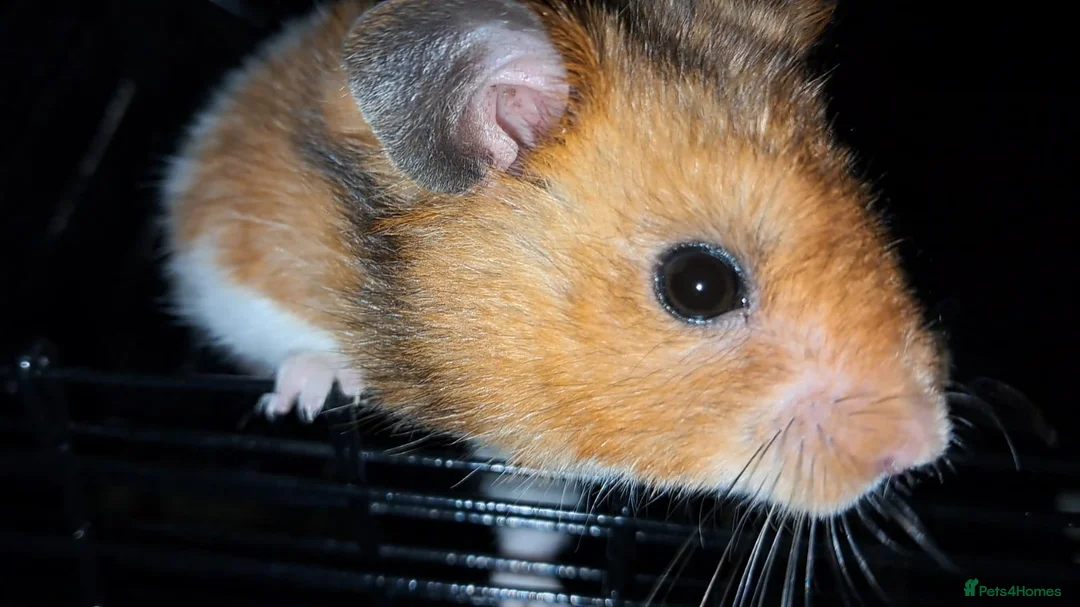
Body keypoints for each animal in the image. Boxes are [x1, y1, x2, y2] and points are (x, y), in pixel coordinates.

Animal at [161, 0, 953, 602]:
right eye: (699, 284)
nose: (925, 448)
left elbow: (529, 528)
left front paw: (522, 592)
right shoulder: (223, 243)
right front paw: (311, 390)